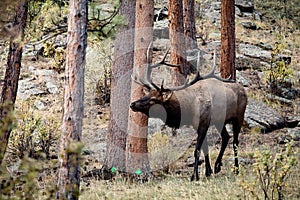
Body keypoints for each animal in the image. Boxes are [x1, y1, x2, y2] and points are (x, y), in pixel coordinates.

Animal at [130, 47, 247, 181]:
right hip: (220, 122)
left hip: (239, 116)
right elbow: (205, 148)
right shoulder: (198, 125)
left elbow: (197, 150)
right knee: (226, 137)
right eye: (147, 94)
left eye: (153, 99)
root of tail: (244, 90)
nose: (132, 104)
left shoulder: (203, 123)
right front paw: (207, 172)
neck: (188, 110)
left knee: (235, 142)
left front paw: (194, 176)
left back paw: (236, 169)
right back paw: (217, 166)